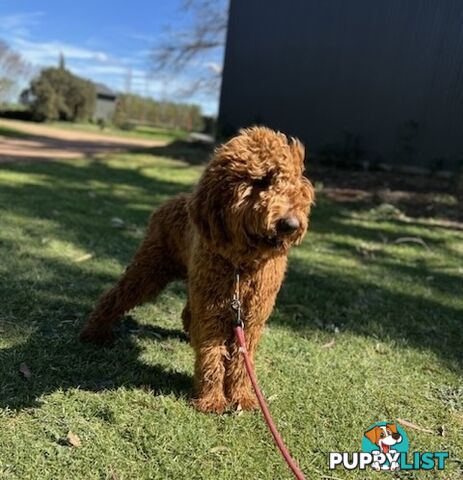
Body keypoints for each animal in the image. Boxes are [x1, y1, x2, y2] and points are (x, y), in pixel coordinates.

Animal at [80, 126, 316, 412]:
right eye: (260, 181)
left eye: (290, 182)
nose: (290, 225)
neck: (240, 267)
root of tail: (175, 199)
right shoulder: (212, 312)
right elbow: (211, 355)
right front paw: (212, 400)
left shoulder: (251, 318)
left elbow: (241, 360)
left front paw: (242, 397)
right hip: (149, 270)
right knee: (116, 297)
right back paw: (94, 331)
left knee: (187, 310)